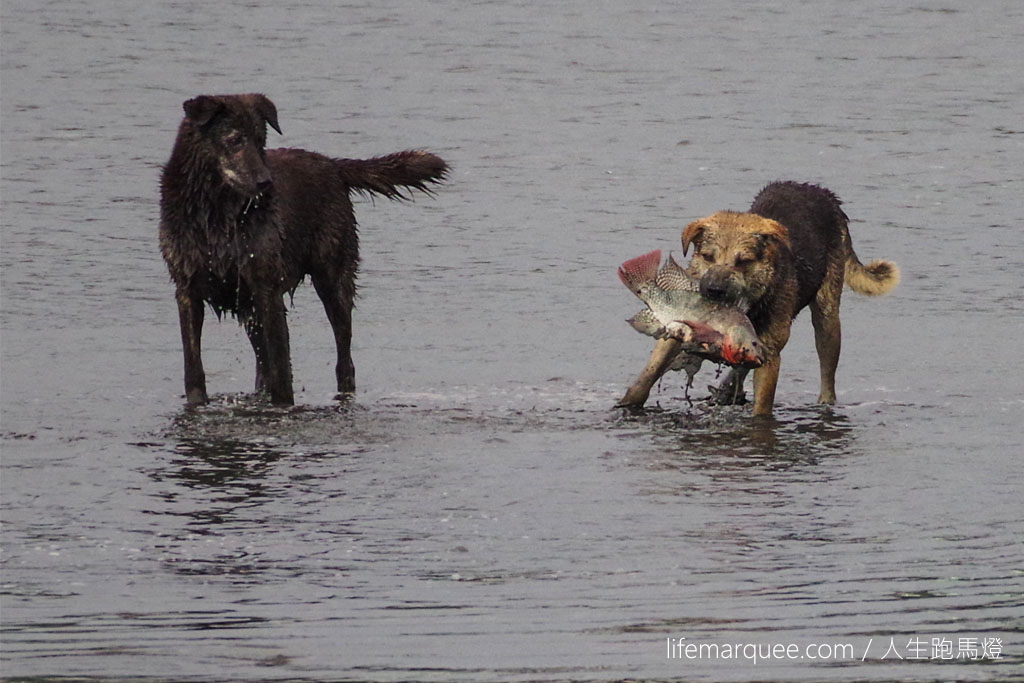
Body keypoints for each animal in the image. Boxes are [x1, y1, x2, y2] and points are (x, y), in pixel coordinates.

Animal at [159, 96, 448, 405]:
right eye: (235, 139)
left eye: (261, 140)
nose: (266, 182)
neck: (217, 213)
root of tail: (333, 165)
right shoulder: (188, 289)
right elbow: (194, 366)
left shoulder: (266, 289)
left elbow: (281, 366)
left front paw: (283, 404)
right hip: (251, 306)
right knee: (262, 362)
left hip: (333, 280)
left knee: (343, 357)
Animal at [614, 181, 897, 417]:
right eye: (707, 256)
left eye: (744, 261)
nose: (714, 290)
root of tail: (824, 193)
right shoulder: (678, 328)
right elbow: (647, 375)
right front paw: (627, 404)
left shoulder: (769, 354)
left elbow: (762, 406)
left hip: (827, 316)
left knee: (827, 369)